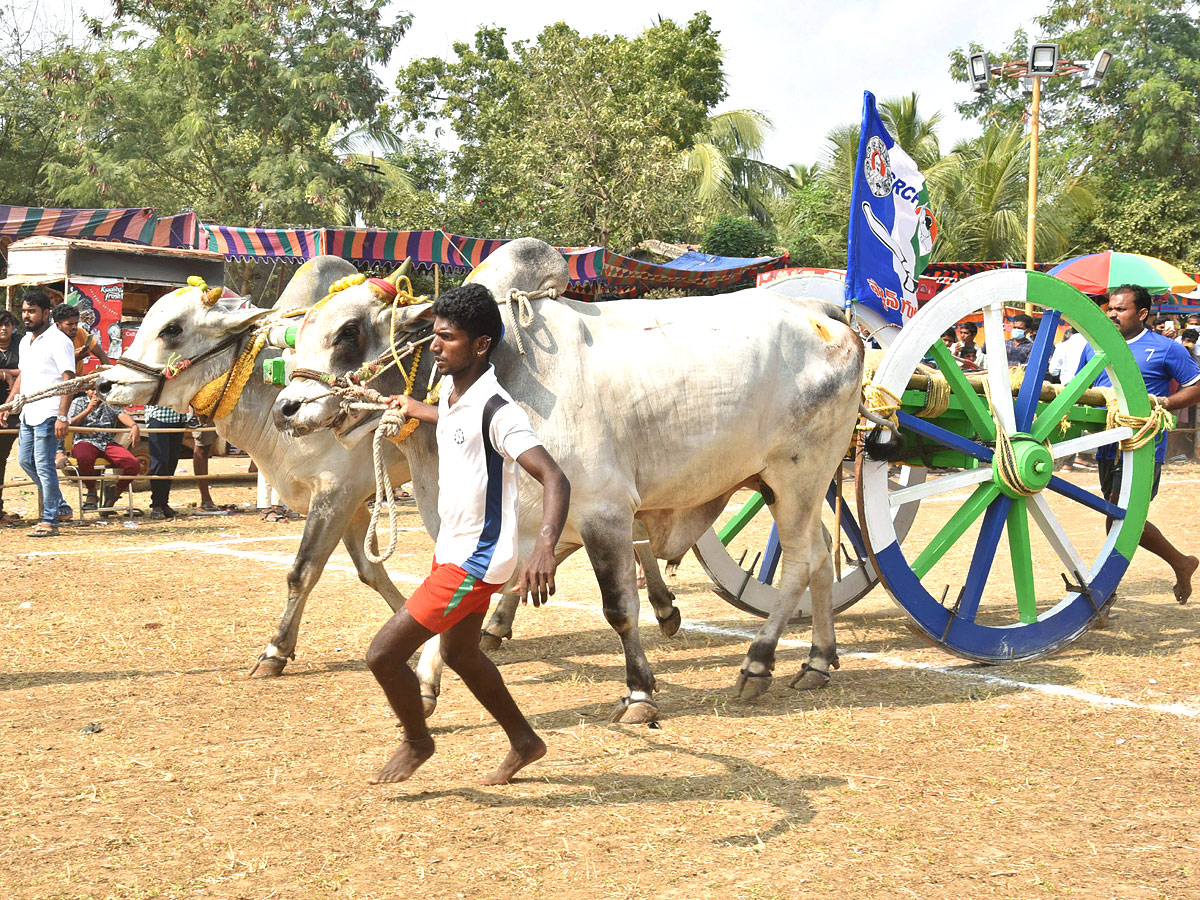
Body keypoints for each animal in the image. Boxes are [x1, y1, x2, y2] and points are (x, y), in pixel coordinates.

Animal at [96, 256, 446, 710]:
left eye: (172, 328)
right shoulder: (348, 499)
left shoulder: (336, 492)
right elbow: (370, 571)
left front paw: (275, 650)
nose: (104, 384)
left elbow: (302, 572)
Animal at [274, 241, 864, 724]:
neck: (505, 369)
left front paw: (639, 692)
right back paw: (818, 660)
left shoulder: (604, 511)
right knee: (819, 554)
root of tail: (826, 314)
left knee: (801, 560)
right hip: (781, 483)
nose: (285, 408)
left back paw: (759, 663)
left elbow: (620, 608)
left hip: (798, 473)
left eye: (348, 331)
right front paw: (424, 686)